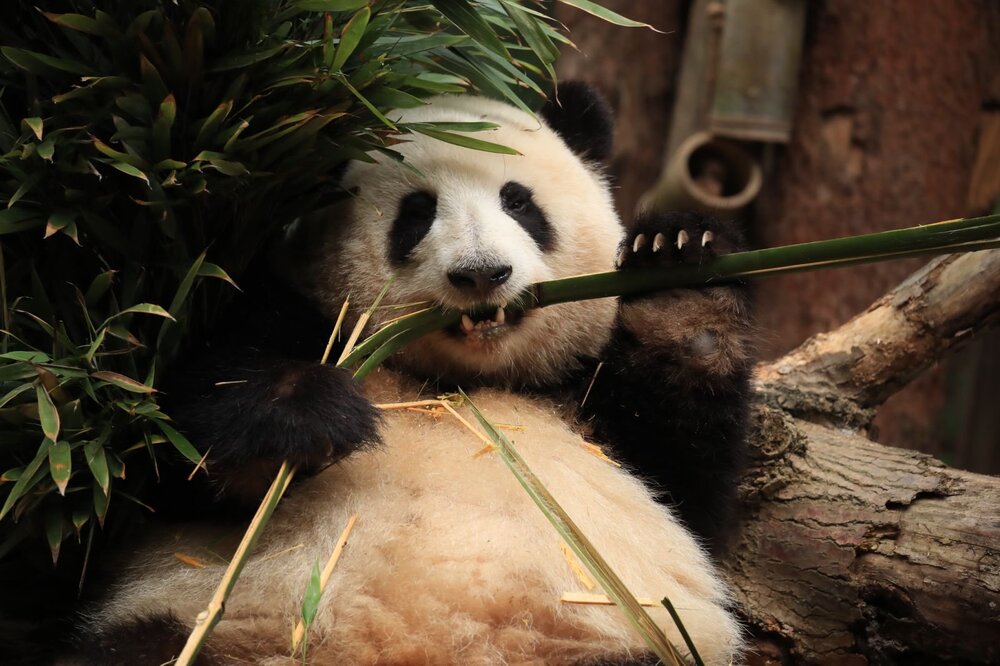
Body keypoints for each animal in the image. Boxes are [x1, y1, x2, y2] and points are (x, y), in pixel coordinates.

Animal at [66, 83, 753, 666]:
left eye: (518, 201)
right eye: (417, 211)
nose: (482, 273)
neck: (455, 386)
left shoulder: (596, 412)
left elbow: (686, 487)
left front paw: (677, 278)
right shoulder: (285, 311)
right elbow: (170, 461)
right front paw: (305, 415)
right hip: (201, 626)